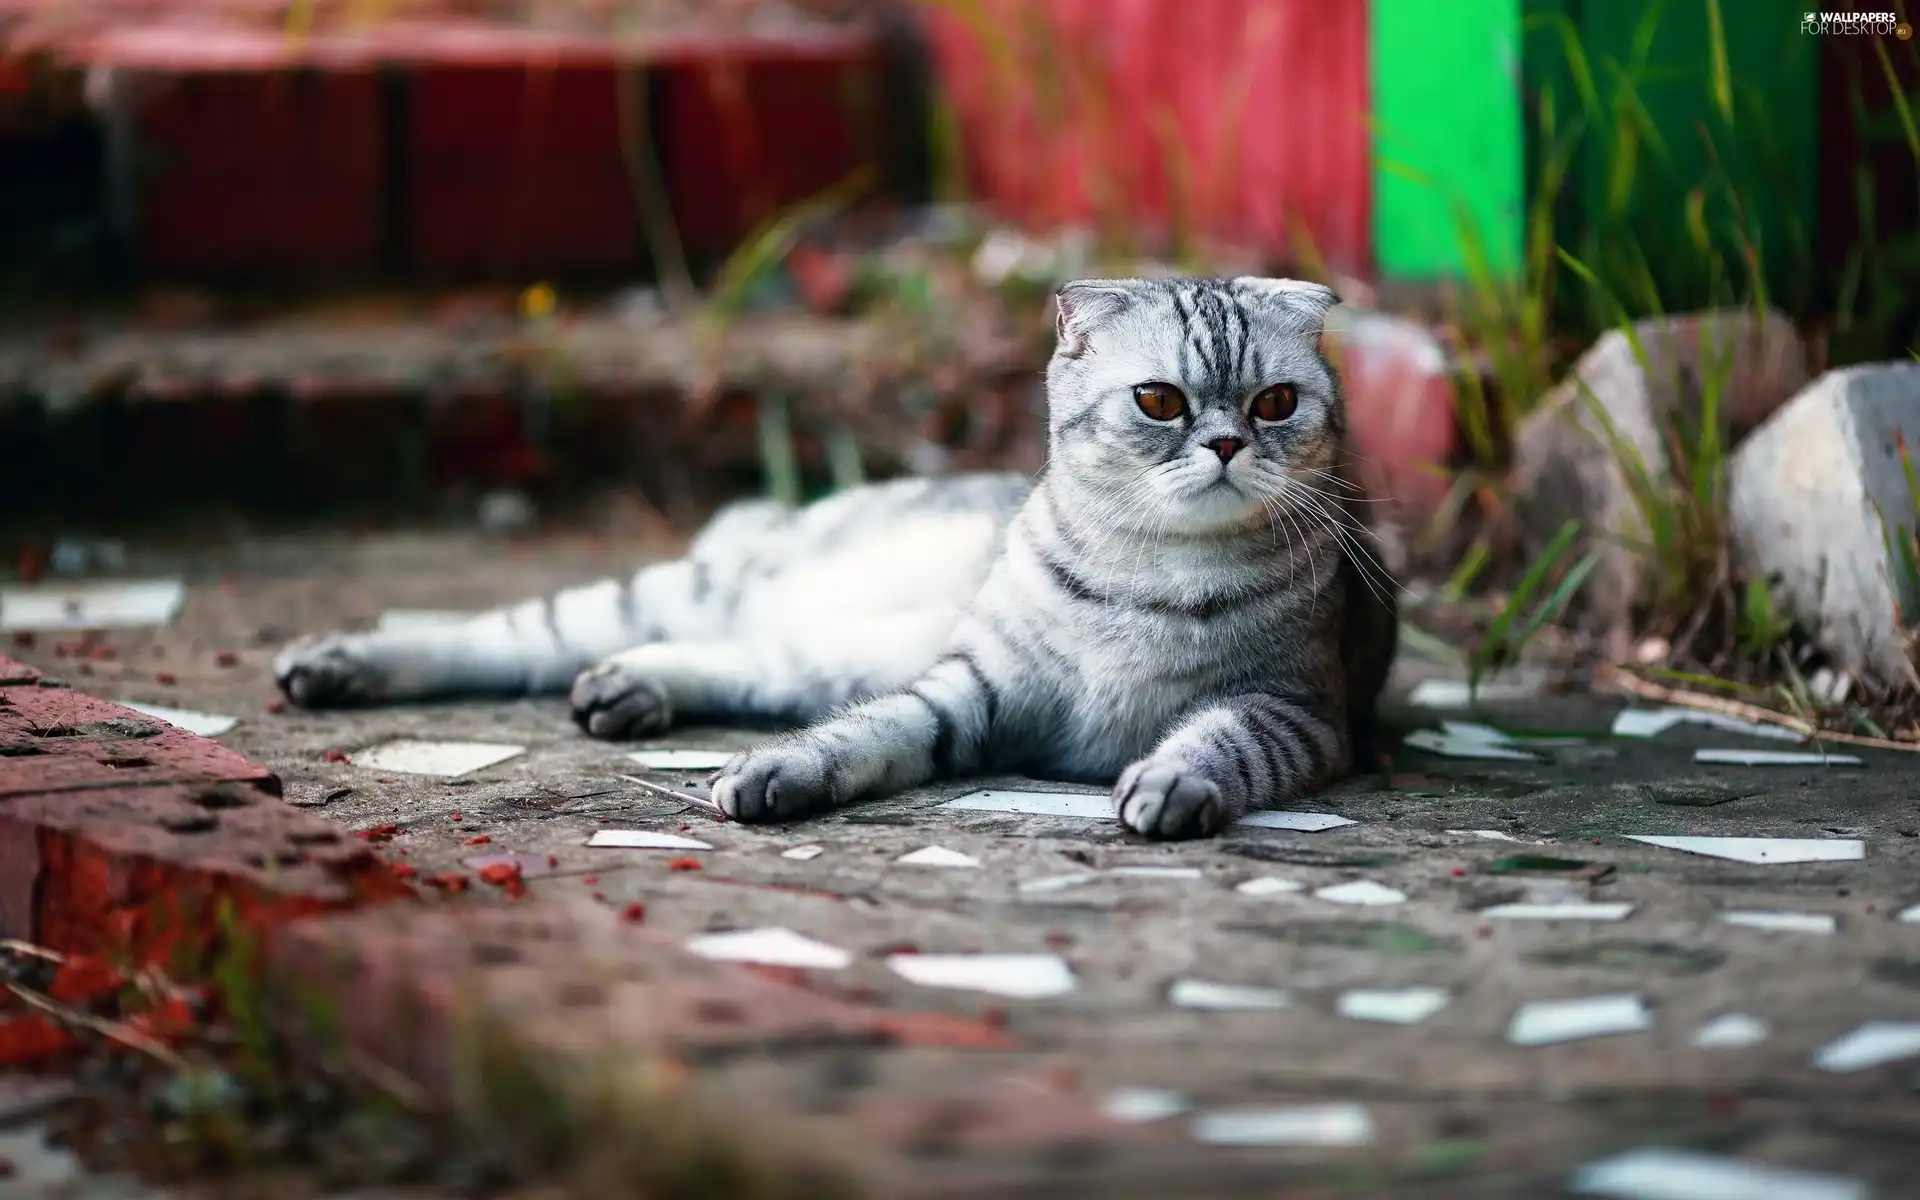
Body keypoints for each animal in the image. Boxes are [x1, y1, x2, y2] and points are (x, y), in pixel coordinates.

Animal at [274, 278, 1397, 840]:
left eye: (1276, 403)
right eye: (1160, 401)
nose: (1227, 444)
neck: (1150, 567)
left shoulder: (1295, 712)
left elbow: (1215, 742)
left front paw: (1169, 782)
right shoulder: (973, 687)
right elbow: (871, 734)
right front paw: (780, 774)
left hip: (815, 650)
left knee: (733, 658)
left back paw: (628, 691)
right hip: (691, 594)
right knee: (503, 634)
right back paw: (339, 663)